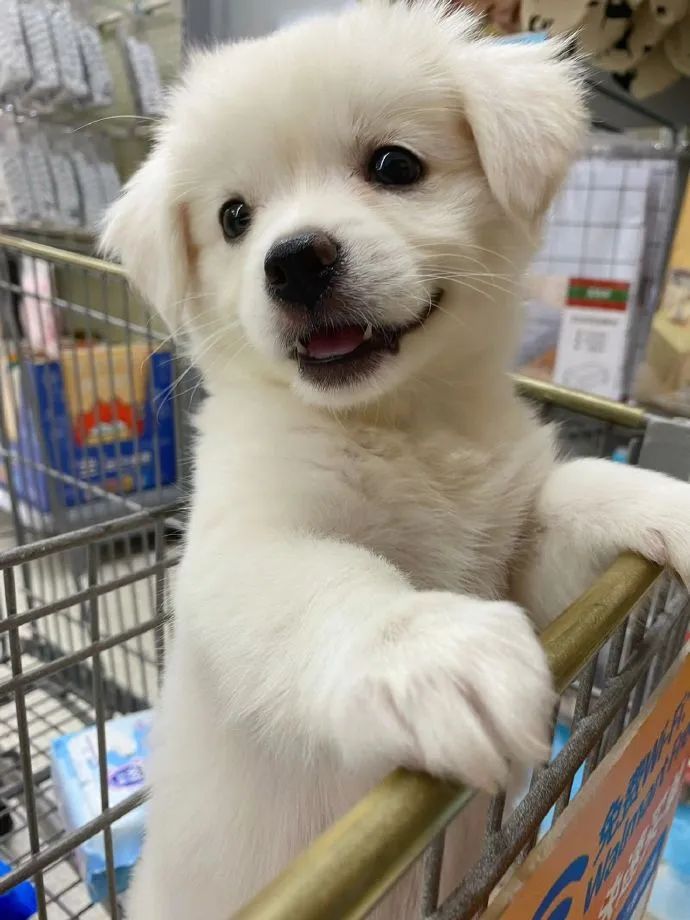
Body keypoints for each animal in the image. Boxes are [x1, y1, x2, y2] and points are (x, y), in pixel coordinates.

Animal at [101, 2, 690, 917]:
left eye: (394, 165)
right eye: (234, 217)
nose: (293, 259)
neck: (396, 421)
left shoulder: (523, 562)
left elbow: (577, 493)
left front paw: (661, 499)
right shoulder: (241, 552)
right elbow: (336, 583)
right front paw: (434, 656)